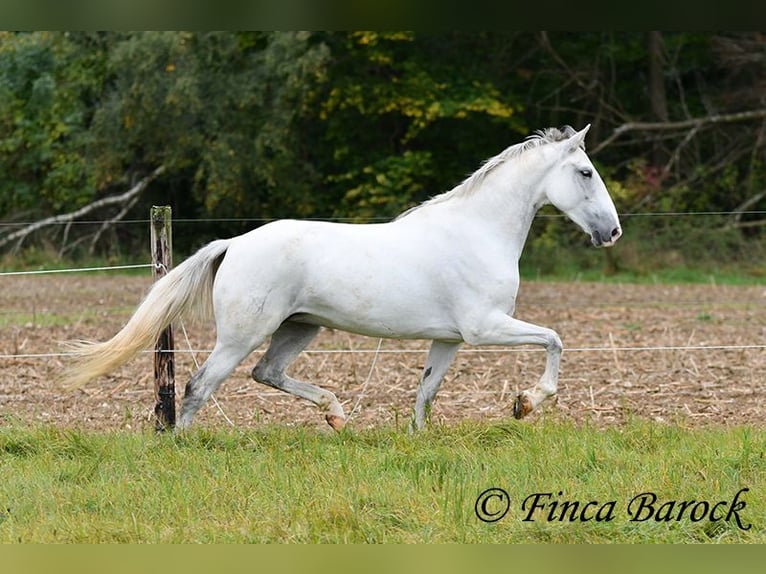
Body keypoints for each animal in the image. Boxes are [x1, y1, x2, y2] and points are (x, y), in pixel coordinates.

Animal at [63, 126, 620, 432]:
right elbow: (555, 340)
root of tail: (234, 243)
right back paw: (184, 445)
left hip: (300, 327)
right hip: (244, 333)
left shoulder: (450, 338)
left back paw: (335, 414)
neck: (478, 231)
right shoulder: (485, 328)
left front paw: (417, 439)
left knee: (266, 373)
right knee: (202, 385)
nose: (611, 232)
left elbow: (426, 390)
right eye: (586, 172)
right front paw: (525, 404)